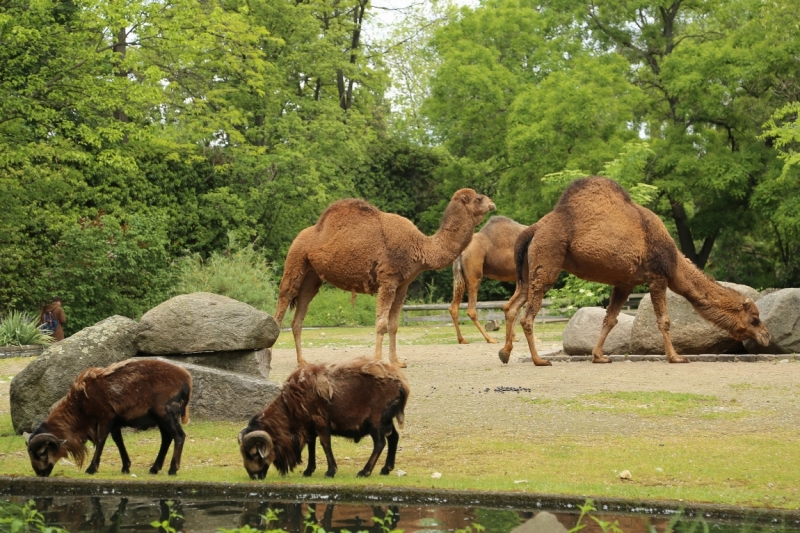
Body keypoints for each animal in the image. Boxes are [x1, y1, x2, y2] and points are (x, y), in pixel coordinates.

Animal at [25, 360, 191, 476]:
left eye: (41, 452)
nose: (40, 473)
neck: (80, 406)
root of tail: (187, 380)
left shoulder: (105, 416)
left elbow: (101, 440)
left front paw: (91, 468)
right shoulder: (115, 421)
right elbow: (118, 441)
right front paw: (125, 467)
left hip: (166, 412)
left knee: (179, 436)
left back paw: (172, 469)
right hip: (161, 418)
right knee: (167, 438)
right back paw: (154, 468)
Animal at [238, 358, 410, 478]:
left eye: (253, 453)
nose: (253, 476)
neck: (289, 406)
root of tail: (401, 384)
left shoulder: (320, 421)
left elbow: (325, 444)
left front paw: (330, 471)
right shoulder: (309, 427)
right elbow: (311, 445)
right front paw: (308, 471)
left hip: (376, 419)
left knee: (380, 443)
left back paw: (365, 471)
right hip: (387, 420)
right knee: (393, 437)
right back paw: (385, 469)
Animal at [276, 189, 494, 368]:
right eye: (478, 198)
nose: (492, 204)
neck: (420, 247)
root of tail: (302, 236)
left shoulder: (402, 285)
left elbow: (394, 325)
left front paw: (396, 361)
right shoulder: (387, 280)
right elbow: (381, 323)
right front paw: (378, 360)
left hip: (312, 276)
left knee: (298, 316)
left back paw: (303, 361)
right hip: (295, 260)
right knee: (282, 304)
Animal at [446, 216, 528, 344]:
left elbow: (518, 306)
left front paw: (514, 337)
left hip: (460, 278)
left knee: (453, 307)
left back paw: (462, 339)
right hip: (474, 276)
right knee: (471, 310)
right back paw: (490, 339)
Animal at [500, 177, 768, 364]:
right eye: (754, 318)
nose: (766, 336)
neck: (675, 263)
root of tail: (534, 228)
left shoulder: (625, 283)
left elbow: (610, 319)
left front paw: (599, 356)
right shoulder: (658, 277)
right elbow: (664, 320)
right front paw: (676, 357)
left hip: (529, 268)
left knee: (512, 305)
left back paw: (505, 353)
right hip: (548, 256)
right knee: (528, 314)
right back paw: (539, 360)